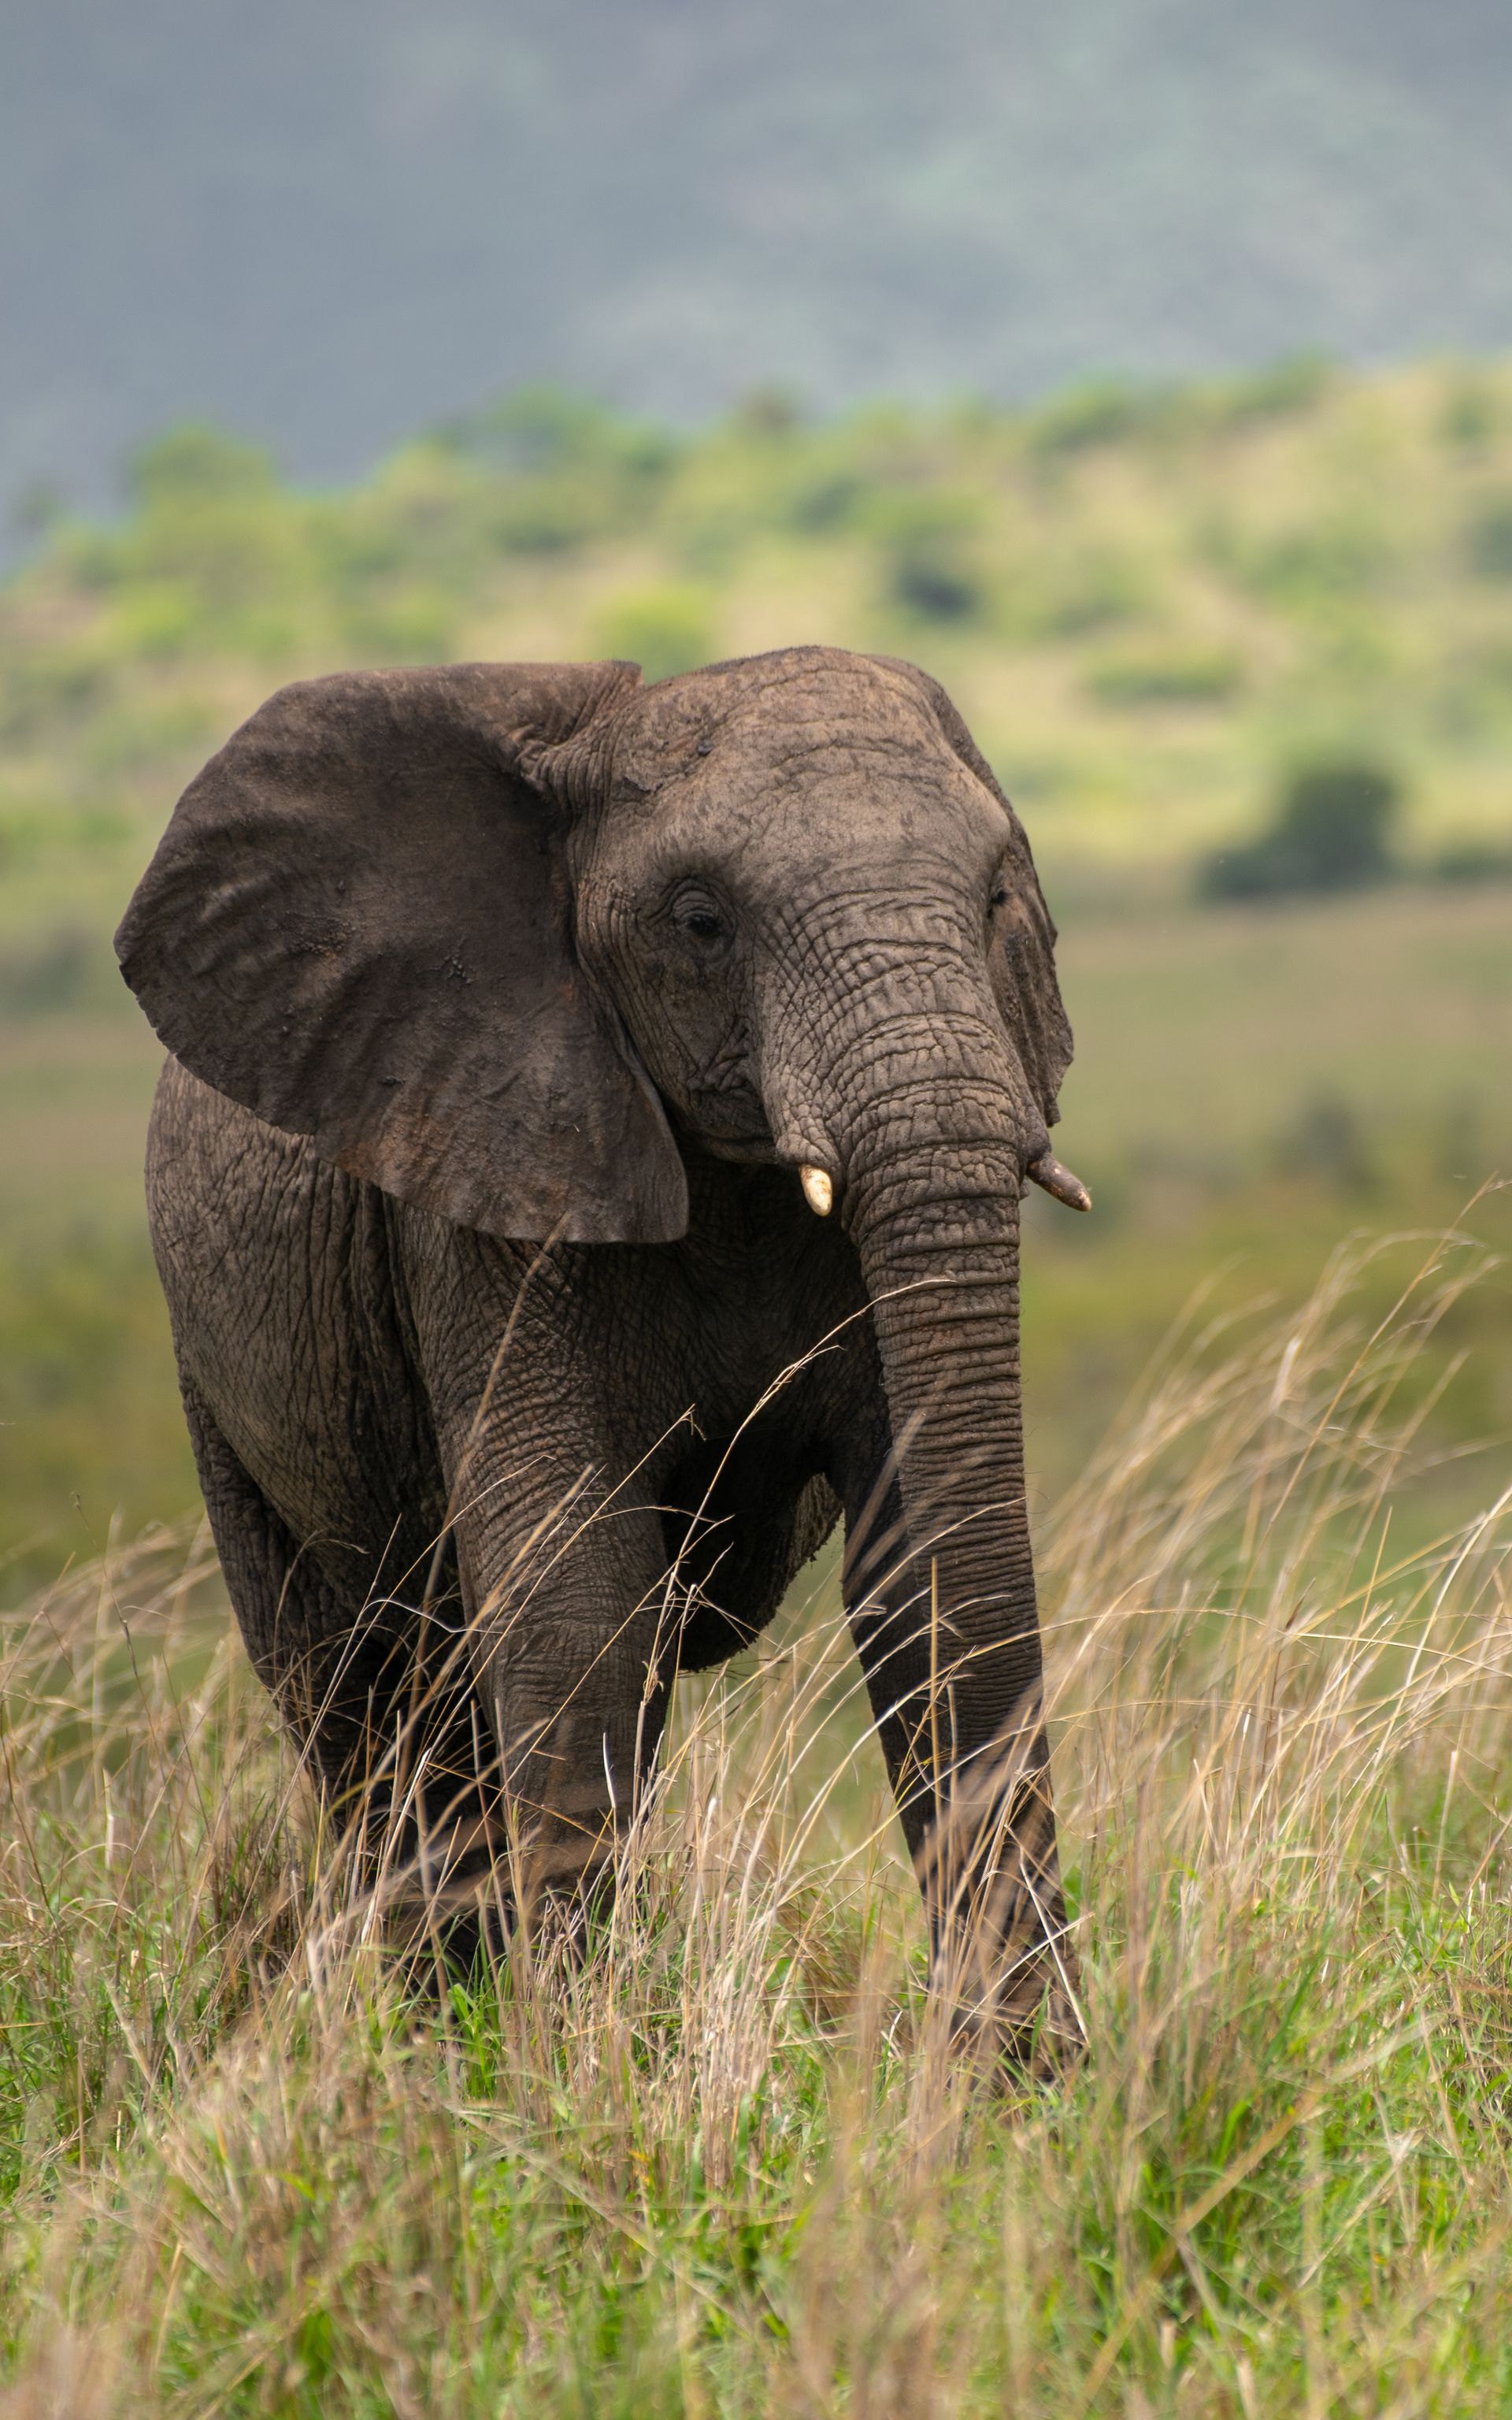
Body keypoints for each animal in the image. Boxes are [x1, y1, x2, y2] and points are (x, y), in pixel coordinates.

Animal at [116, 643, 1090, 2063]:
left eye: (1002, 893)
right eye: (700, 923)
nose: (1031, 2053)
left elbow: (928, 1580)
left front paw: (1024, 2088)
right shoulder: (487, 1184)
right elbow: (575, 1596)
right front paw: (576, 2074)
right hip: (214, 1374)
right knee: (357, 1709)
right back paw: (433, 2050)